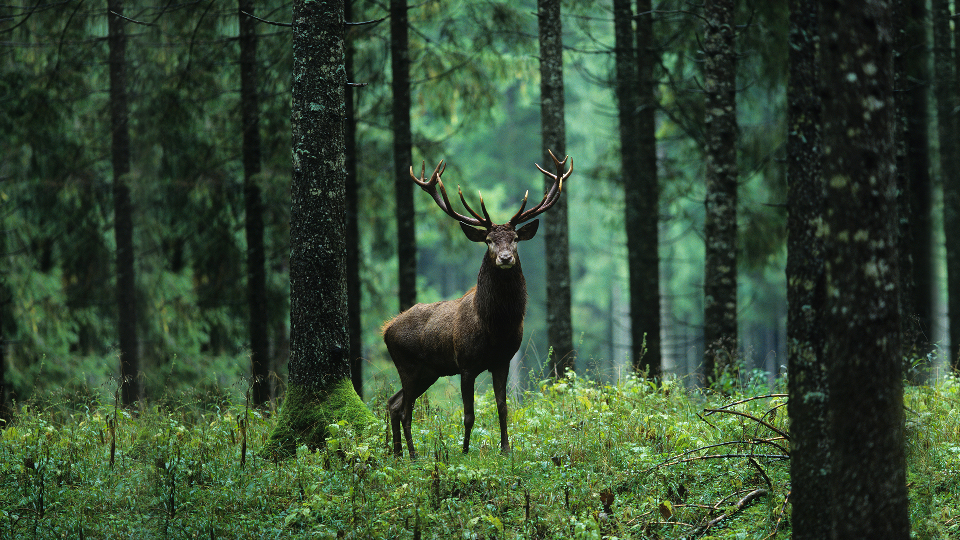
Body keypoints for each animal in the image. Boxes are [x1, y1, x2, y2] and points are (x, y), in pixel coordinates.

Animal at [382, 150, 572, 458]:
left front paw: (506, 449)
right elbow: (468, 414)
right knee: (405, 409)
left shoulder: (503, 360)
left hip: (429, 371)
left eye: (515, 239)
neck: (495, 326)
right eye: (489, 240)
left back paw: (399, 454)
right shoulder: (466, 363)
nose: (505, 258)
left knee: (393, 403)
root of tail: (386, 329)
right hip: (407, 365)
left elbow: (503, 407)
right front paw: (464, 451)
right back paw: (412, 455)